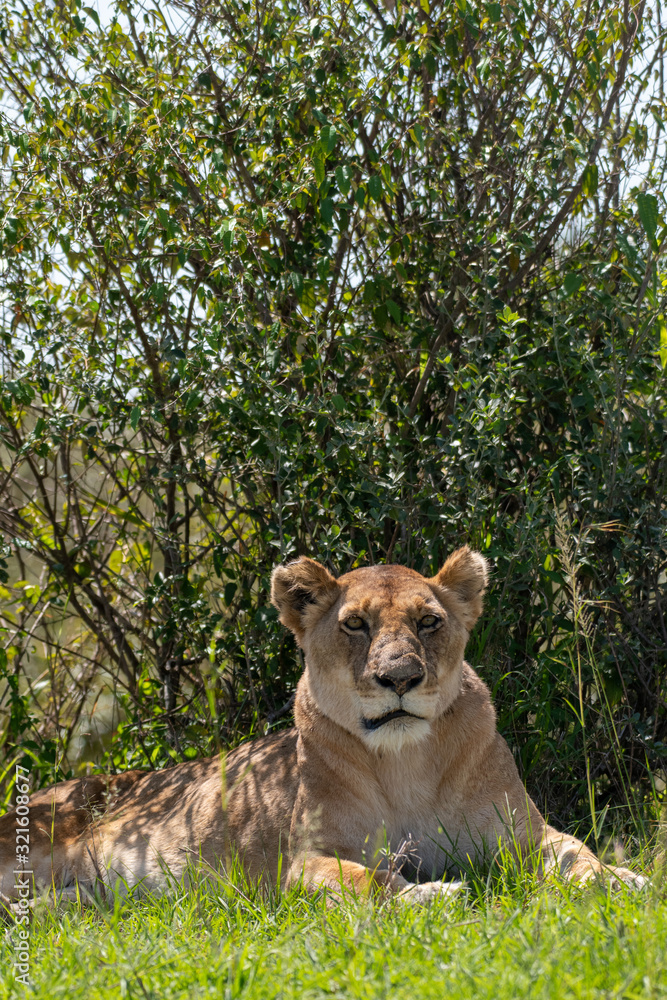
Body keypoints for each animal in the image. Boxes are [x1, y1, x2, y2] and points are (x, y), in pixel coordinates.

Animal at [0, 547, 646, 910]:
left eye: (428, 622)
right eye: (356, 624)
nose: (400, 678)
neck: (405, 763)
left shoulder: (521, 837)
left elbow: (576, 853)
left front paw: (623, 880)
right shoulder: (301, 861)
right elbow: (369, 880)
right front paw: (430, 894)